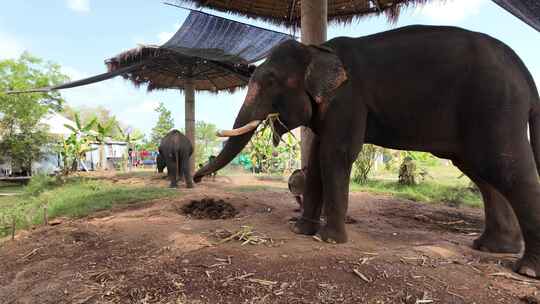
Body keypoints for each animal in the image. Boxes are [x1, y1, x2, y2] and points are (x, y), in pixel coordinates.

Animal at [194, 25, 540, 278]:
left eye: (270, 80)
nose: (196, 178)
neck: (318, 50)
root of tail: (526, 74)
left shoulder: (347, 99)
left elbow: (335, 154)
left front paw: (328, 239)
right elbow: (316, 160)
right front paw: (301, 230)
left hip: (495, 104)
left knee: (506, 168)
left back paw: (525, 269)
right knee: (481, 171)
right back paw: (492, 247)